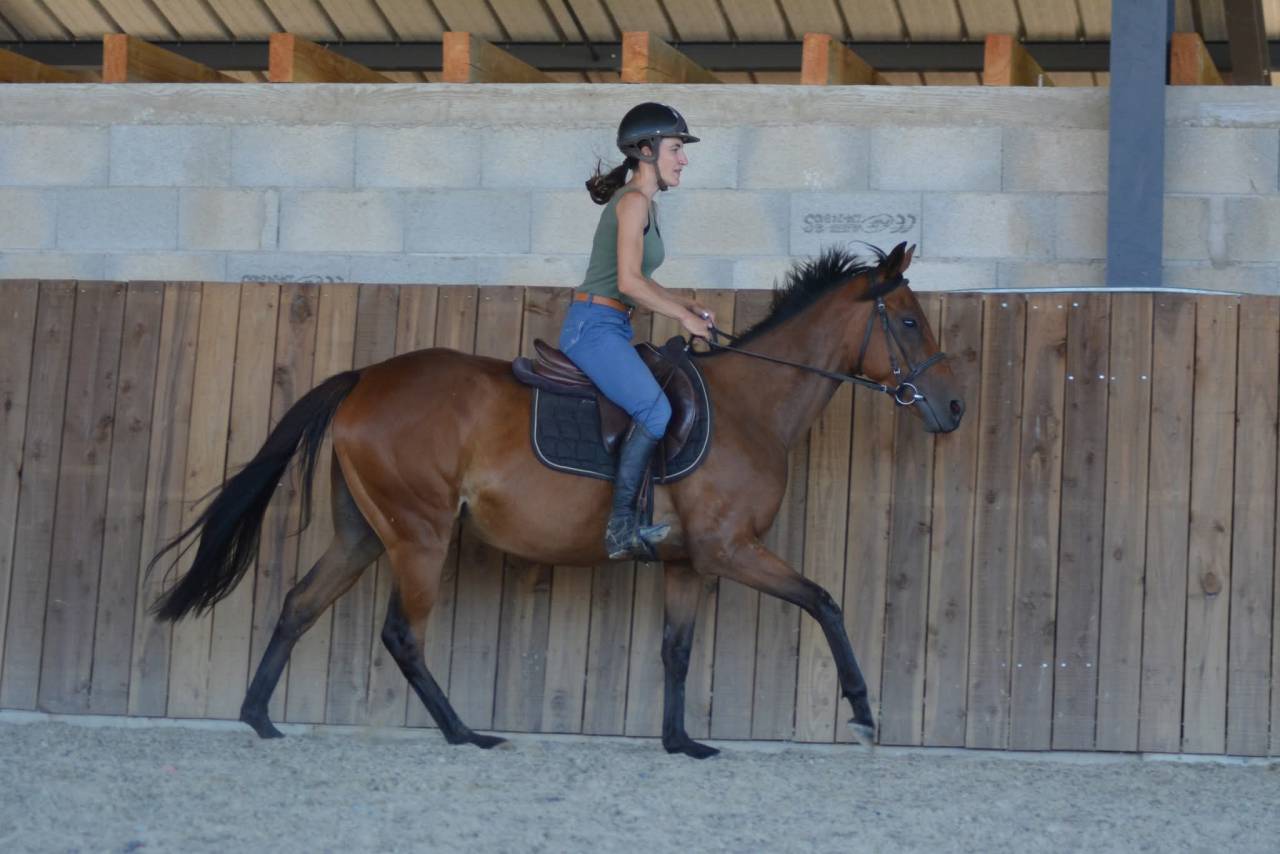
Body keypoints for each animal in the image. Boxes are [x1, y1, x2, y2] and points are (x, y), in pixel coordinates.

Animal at [149, 240, 964, 759]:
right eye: (909, 320)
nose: (954, 409)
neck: (750, 406)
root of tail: (364, 378)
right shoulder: (731, 549)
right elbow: (825, 601)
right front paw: (863, 713)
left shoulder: (689, 563)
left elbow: (675, 650)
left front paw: (681, 742)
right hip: (420, 534)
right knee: (402, 635)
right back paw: (466, 735)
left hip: (364, 532)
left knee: (300, 604)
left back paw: (259, 719)